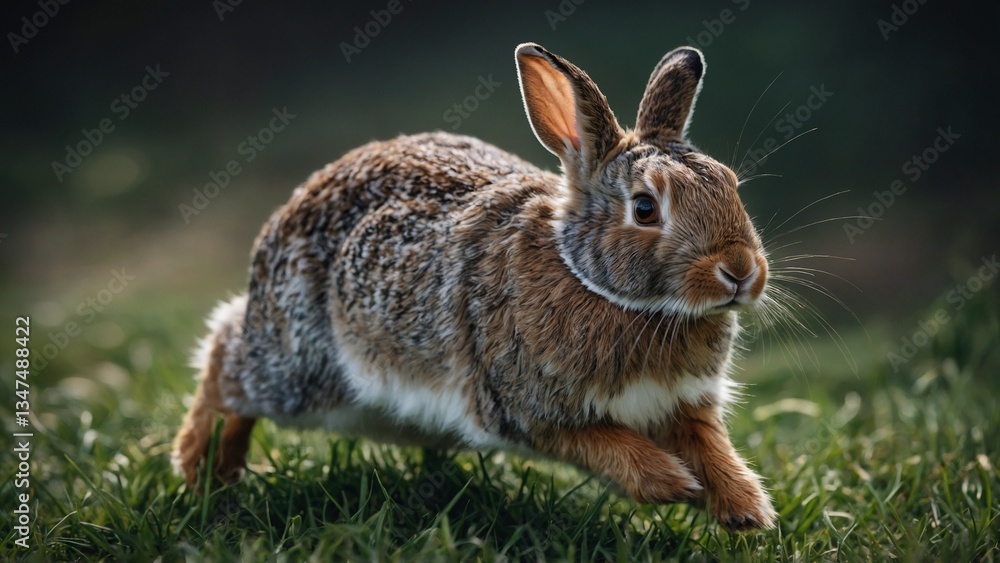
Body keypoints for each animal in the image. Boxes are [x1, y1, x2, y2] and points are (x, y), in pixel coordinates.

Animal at [172, 42, 777, 531]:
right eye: (646, 208)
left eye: (731, 185)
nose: (741, 270)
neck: (601, 286)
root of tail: (281, 223)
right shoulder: (524, 405)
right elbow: (606, 444)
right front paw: (672, 483)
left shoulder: (684, 404)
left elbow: (711, 445)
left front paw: (743, 509)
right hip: (301, 369)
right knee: (226, 358)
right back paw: (199, 468)